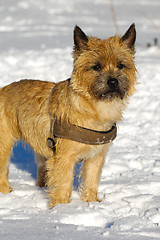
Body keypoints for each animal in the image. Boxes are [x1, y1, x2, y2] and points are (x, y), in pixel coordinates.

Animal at [0, 24, 138, 208]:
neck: (95, 108)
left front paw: (91, 203)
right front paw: (62, 208)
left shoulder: (95, 157)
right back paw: (6, 193)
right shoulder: (64, 158)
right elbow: (63, 185)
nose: (113, 81)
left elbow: (91, 182)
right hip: (4, 145)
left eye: (121, 65)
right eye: (96, 67)